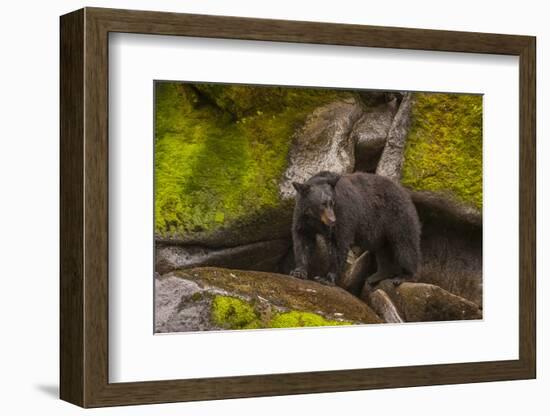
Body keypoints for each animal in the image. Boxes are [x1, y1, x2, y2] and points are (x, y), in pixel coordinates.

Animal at [294, 171, 422, 288]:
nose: (332, 220)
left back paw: (404, 276)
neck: (316, 218)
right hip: (382, 233)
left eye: (332, 202)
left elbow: (338, 244)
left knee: (405, 245)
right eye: (323, 204)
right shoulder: (303, 218)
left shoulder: (343, 213)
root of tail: (405, 192)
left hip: (397, 217)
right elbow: (303, 240)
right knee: (383, 251)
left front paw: (326, 278)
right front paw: (299, 271)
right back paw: (377, 276)